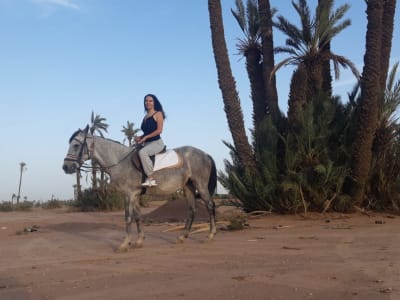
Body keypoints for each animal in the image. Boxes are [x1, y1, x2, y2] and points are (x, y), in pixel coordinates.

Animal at [62, 125, 217, 252]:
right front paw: (139, 241)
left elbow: (128, 218)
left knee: (210, 206)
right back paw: (182, 236)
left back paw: (210, 235)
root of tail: (205, 154)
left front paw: (124, 244)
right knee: (192, 210)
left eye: (76, 145)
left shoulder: (129, 194)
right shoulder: (135, 195)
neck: (121, 162)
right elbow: (137, 216)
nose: (66, 167)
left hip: (201, 185)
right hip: (188, 187)